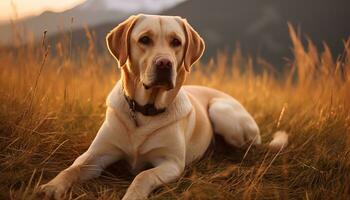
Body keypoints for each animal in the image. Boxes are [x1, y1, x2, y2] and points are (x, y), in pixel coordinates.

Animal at [39, 14, 288, 200]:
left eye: (176, 42)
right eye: (144, 39)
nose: (164, 63)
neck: (144, 111)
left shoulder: (171, 164)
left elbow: (143, 176)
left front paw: (133, 195)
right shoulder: (97, 155)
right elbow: (72, 167)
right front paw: (51, 186)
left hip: (221, 110)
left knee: (249, 147)